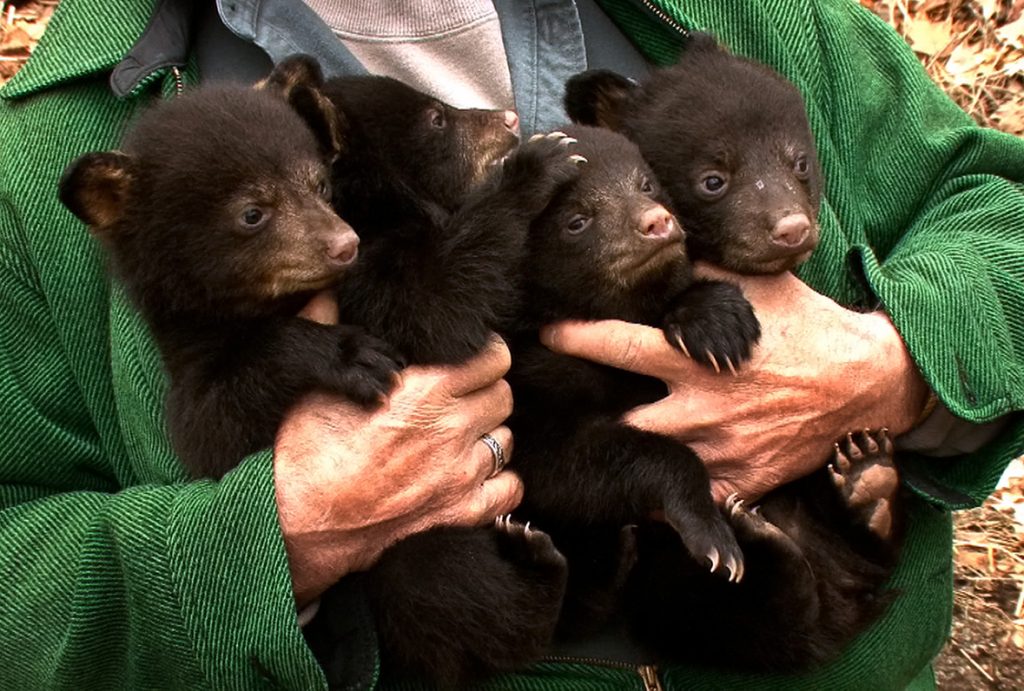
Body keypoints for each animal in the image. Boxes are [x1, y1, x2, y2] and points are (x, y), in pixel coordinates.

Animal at [59, 64, 402, 482]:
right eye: (252, 213)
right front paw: (350, 354)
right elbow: (210, 429)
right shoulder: (190, 357)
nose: (345, 244)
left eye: (321, 185)